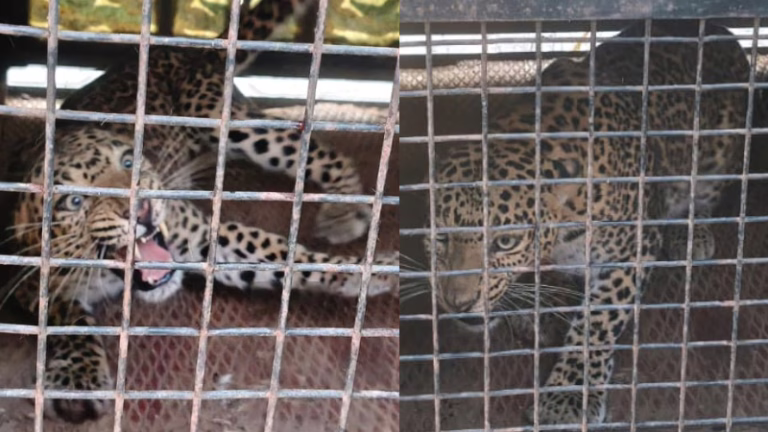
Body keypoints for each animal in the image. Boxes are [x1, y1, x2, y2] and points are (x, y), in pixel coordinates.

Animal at [6, 0, 396, 423]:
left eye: (129, 161)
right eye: (74, 201)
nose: (142, 209)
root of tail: (191, 49)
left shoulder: (199, 235)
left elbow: (281, 254)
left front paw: (365, 273)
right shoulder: (28, 280)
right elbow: (69, 319)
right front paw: (78, 377)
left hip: (226, 119)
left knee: (312, 145)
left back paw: (344, 211)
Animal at [424, 20, 750, 425]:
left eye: (505, 242)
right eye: (440, 238)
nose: (458, 303)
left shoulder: (632, 250)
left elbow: (598, 321)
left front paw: (568, 394)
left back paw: (691, 232)